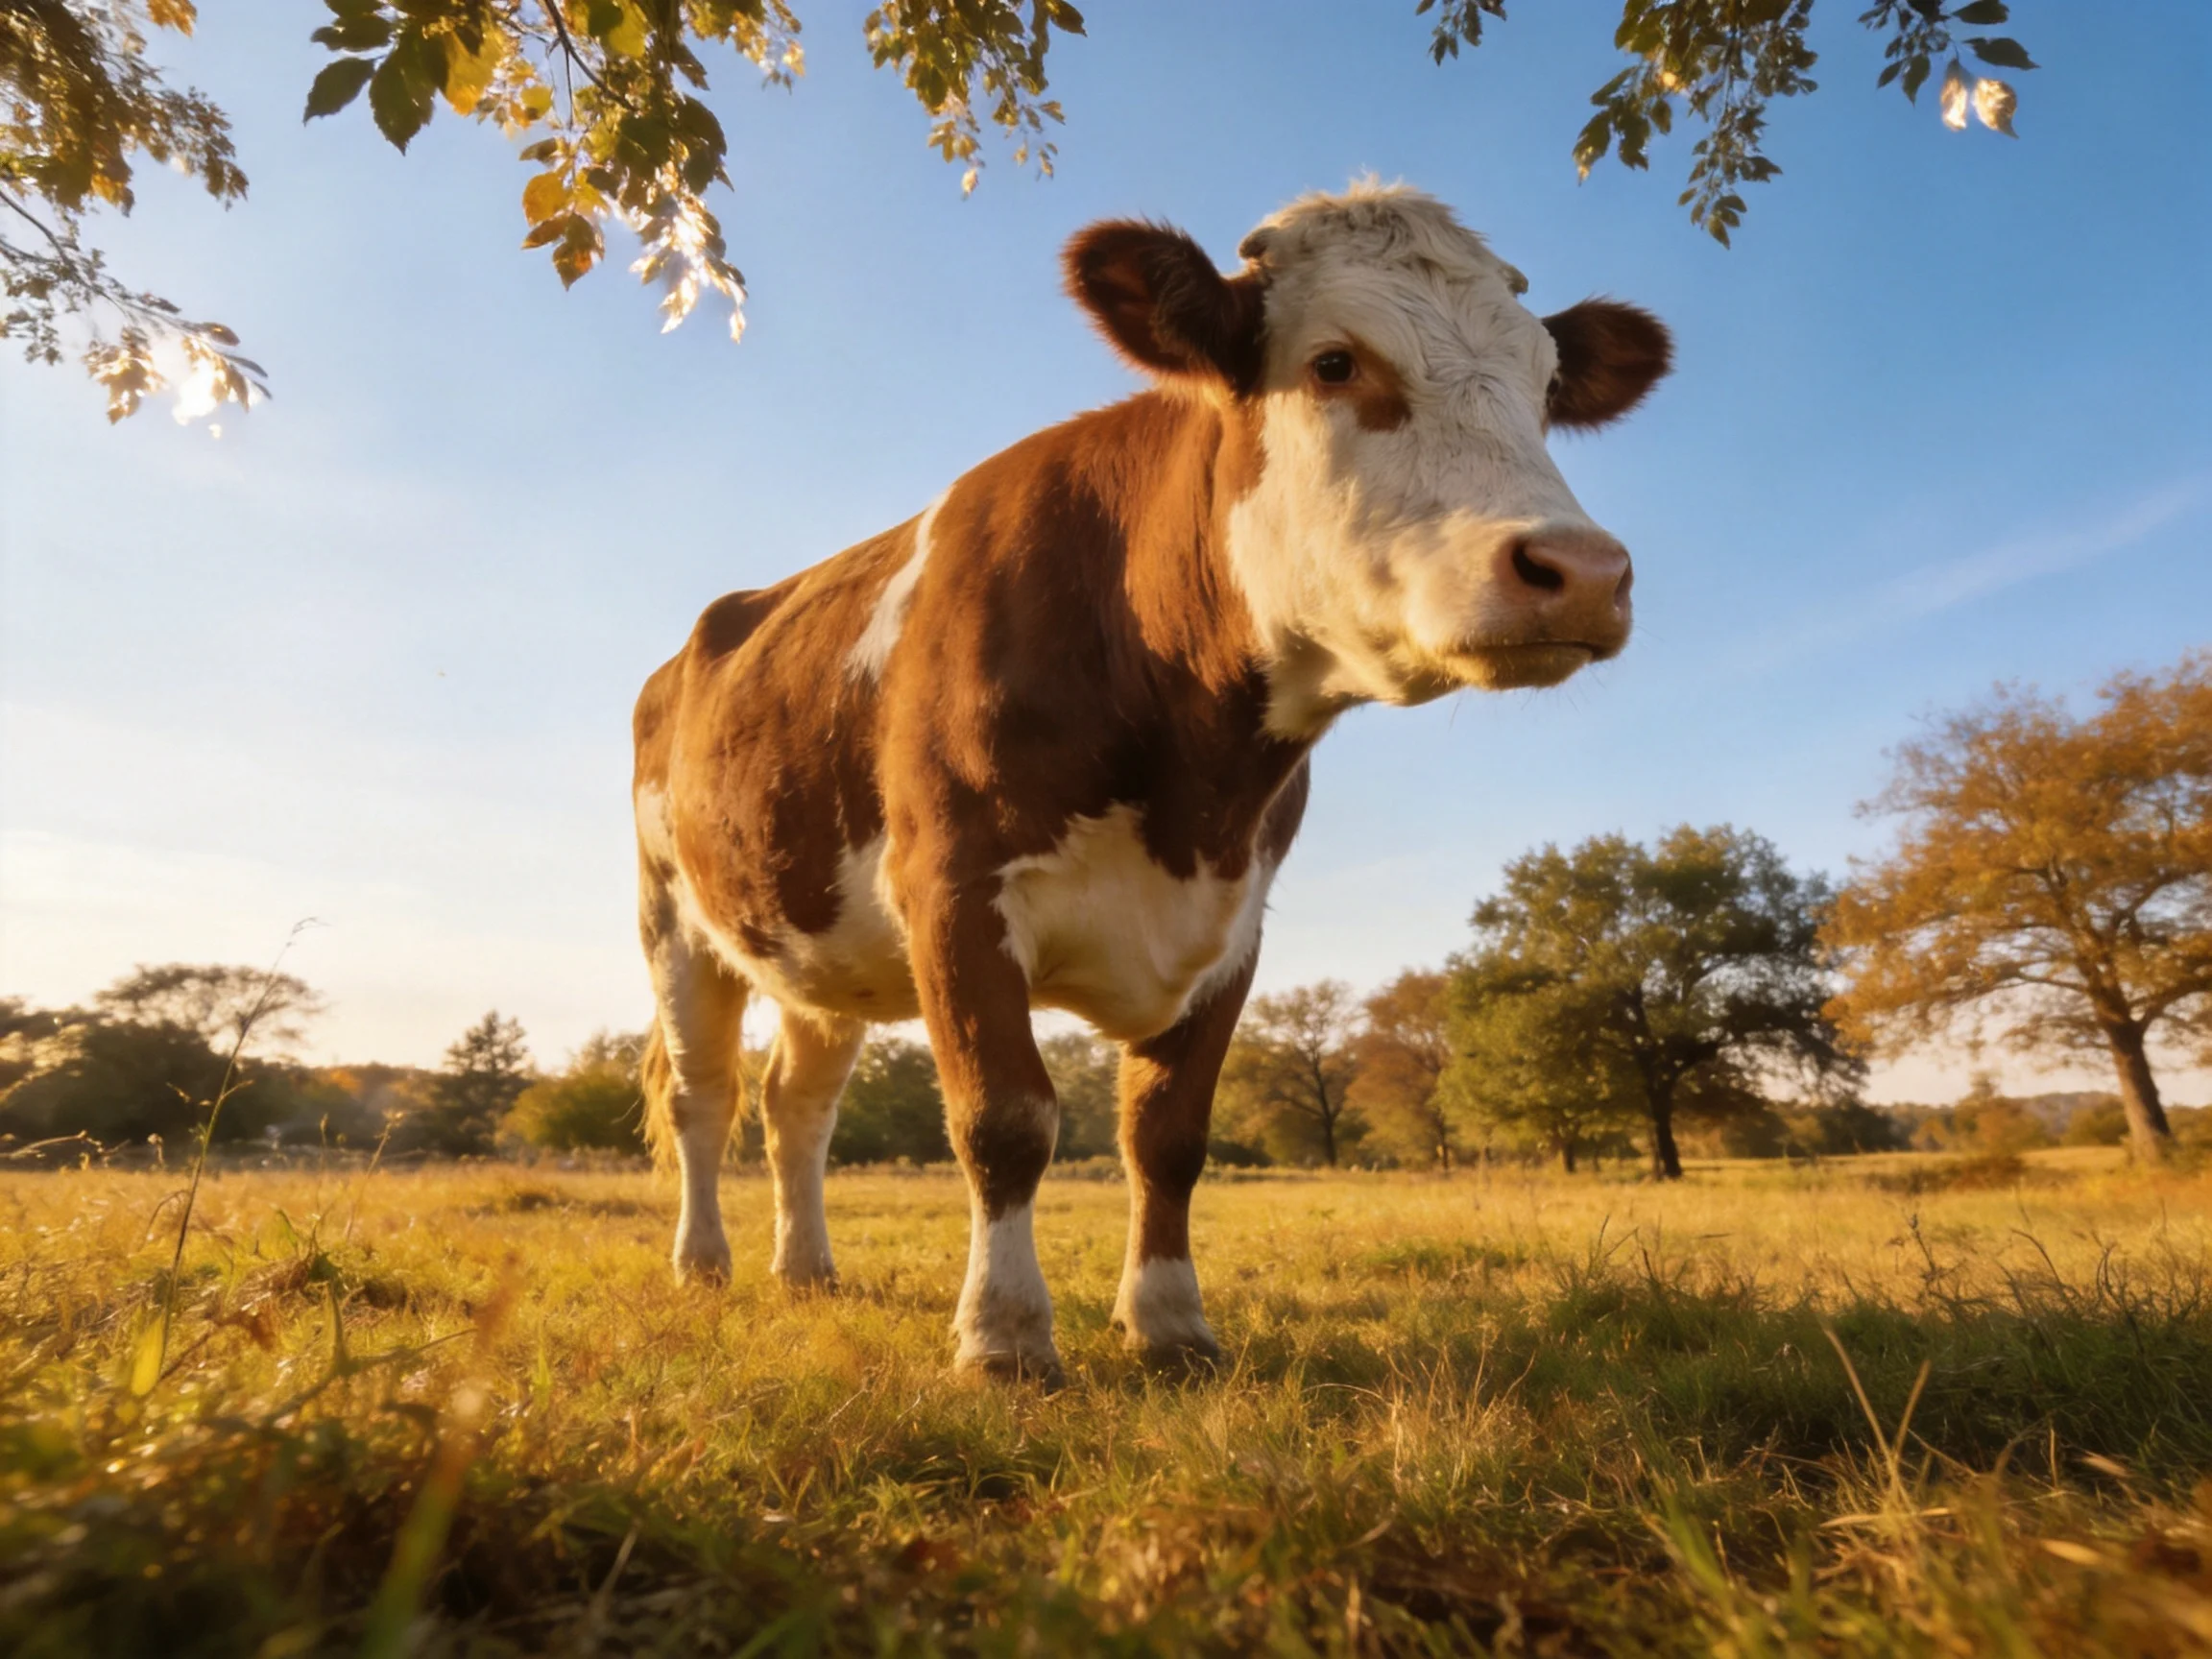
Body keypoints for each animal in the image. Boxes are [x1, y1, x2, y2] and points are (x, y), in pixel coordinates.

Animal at [633, 181, 1670, 1384]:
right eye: (1333, 363)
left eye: (1546, 388)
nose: (1582, 571)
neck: (1195, 778)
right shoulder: (952, 889)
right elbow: (1004, 1120)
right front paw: (1005, 1338)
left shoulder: (1236, 922)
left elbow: (1169, 1137)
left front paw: (1171, 1325)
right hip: (675, 921)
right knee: (705, 1099)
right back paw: (703, 1263)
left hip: (819, 949)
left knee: (794, 1105)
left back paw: (806, 1271)